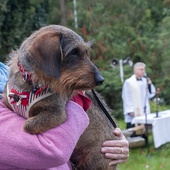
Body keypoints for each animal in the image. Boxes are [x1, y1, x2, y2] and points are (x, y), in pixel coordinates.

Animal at [2, 24, 117, 169]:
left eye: (86, 52)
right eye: (74, 52)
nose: (101, 79)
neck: (33, 82)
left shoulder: (56, 113)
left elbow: (27, 125)